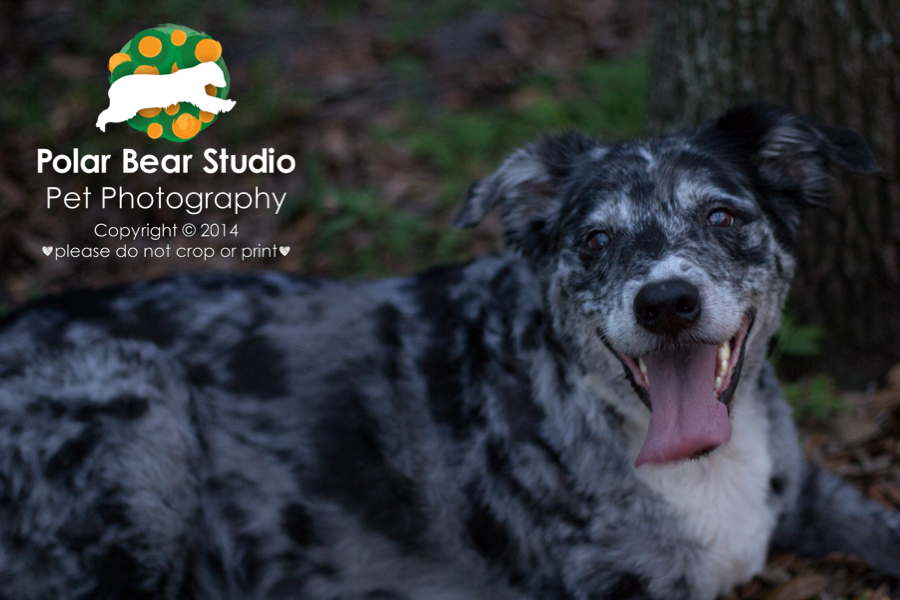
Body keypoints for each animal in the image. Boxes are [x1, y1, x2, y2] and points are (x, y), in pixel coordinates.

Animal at [96, 61, 236, 131]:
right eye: (219, 75)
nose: (225, 84)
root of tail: (112, 88)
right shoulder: (197, 96)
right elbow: (212, 101)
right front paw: (227, 104)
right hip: (124, 109)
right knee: (104, 114)